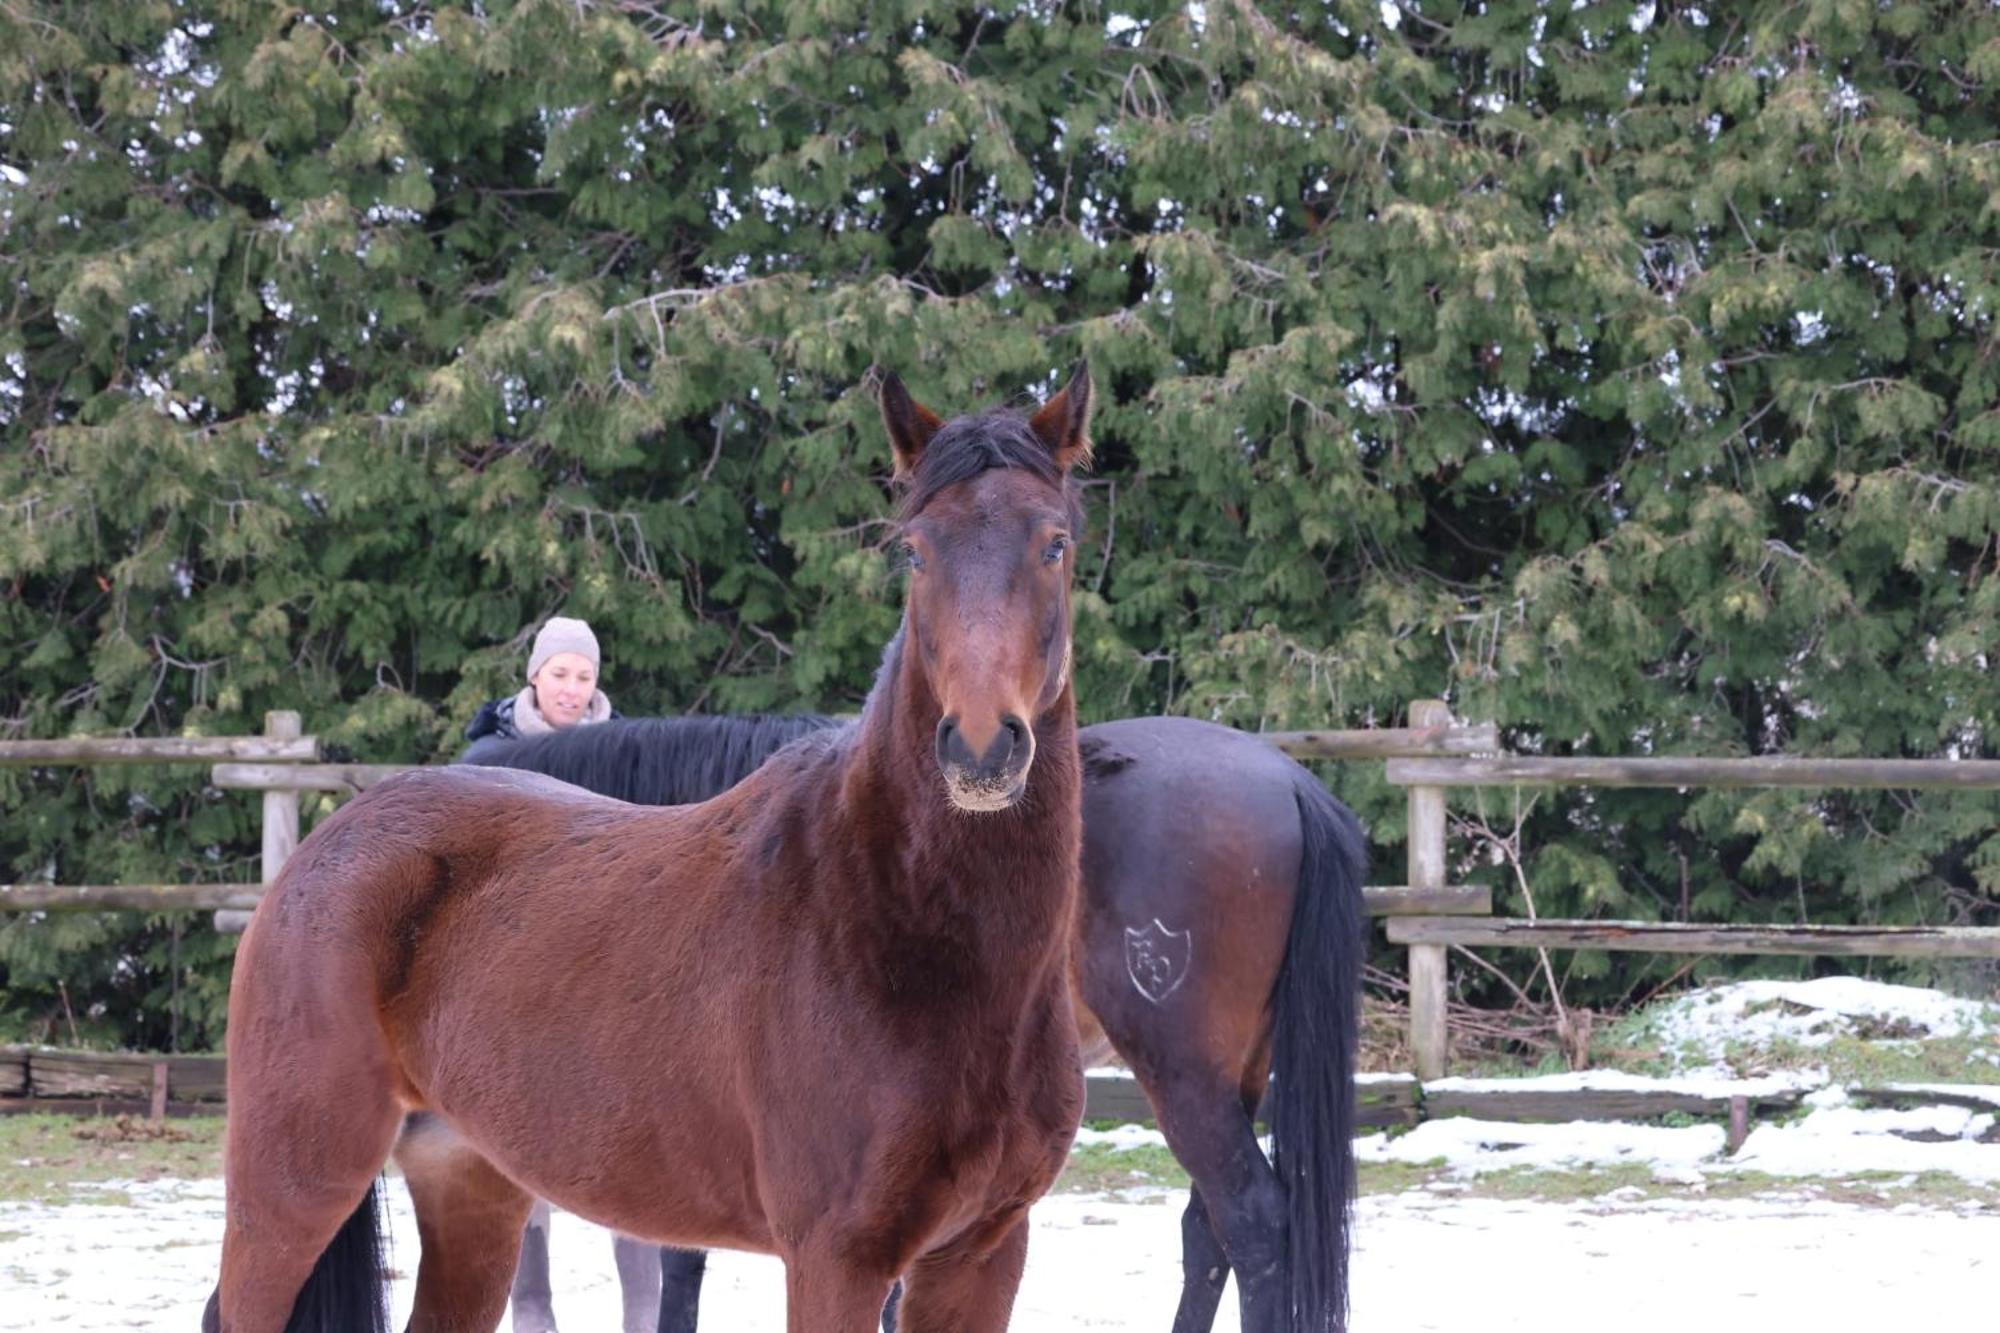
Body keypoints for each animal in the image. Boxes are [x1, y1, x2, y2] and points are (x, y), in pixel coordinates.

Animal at [205, 366, 1104, 1328]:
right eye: (915, 552)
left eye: (1054, 544)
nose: (979, 749)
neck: (899, 927)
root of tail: (320, 854)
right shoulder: (837, 1257)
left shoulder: (982, 1254)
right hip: (292, 1183)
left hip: (469, 1185)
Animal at [470, 704, 1376, 1328]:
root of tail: (1290, 782)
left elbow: (683, 1262)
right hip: (1235, 1072)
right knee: (1208, 1230)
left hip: (1182, 1069)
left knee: (1251, 1221)